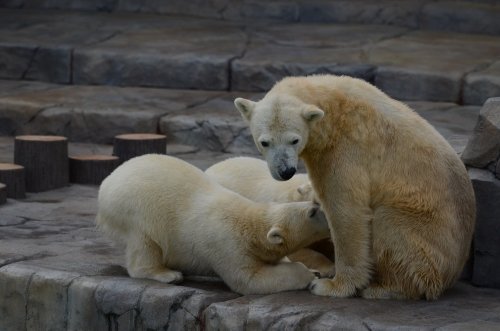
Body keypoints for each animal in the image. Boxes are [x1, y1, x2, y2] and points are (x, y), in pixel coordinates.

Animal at [97, 154, 332, 294]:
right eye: (312, 211)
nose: (328, 214)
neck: (248, 224)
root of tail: (107, 181)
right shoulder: (226, 245)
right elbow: (250, 279)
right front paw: (312, 273)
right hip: (134, 209)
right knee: (145, 243)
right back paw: (167, 274)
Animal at [234, 74, 476, 300]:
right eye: (265, 142)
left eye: (294, 140)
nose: (285, 171)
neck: (331, 108)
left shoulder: (347, 149)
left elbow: (346, 212)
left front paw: (331, 285)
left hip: (423, 229)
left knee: (389, 225)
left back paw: (384, 288)